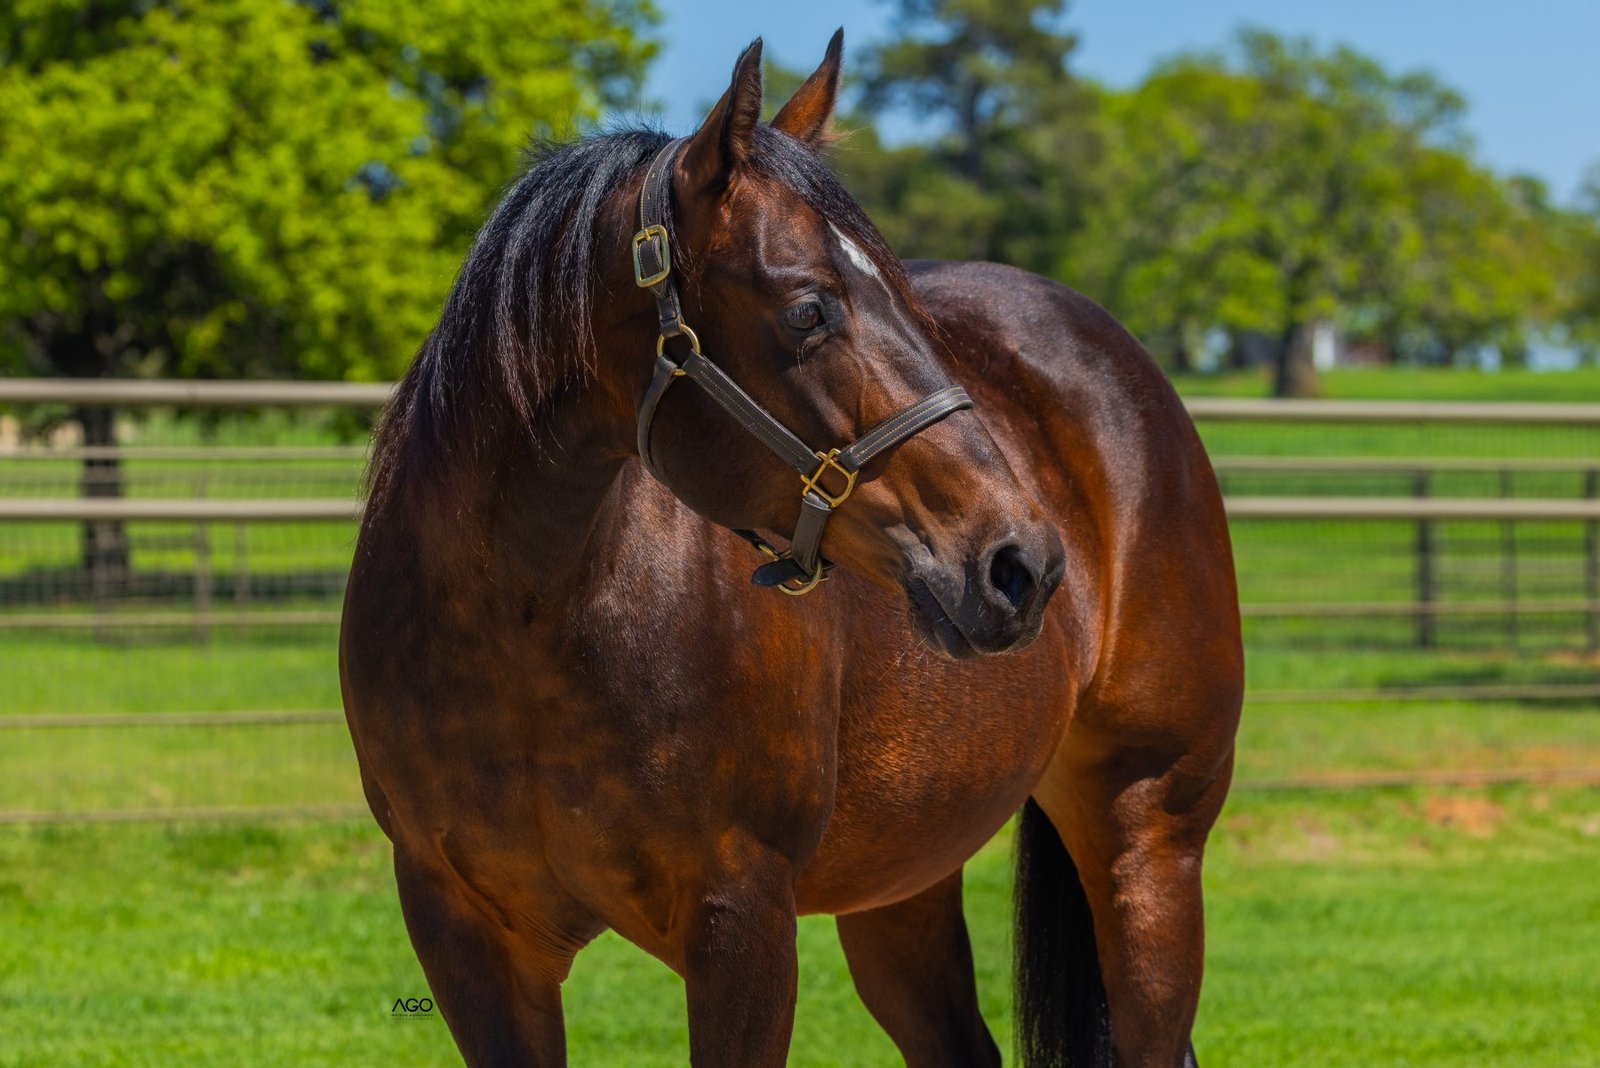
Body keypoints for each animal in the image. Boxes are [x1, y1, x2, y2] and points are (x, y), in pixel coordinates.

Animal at [341, 30, 1242, 1068]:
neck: (525, 630)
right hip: (902, 878)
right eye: (810, 309)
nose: (1021, 564)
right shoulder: (468, 934)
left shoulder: (743, 922)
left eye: (909, 304)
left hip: (1149, 840)